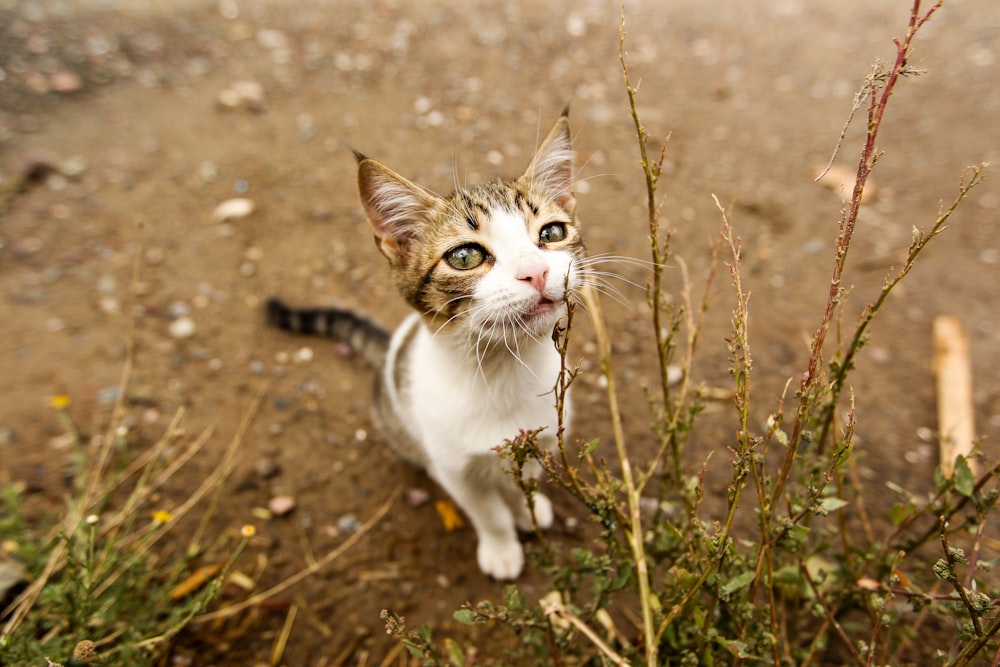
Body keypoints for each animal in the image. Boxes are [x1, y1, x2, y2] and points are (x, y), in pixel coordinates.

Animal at [266, 111, 584, 580]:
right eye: (465, 257)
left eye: (552, 232)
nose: (536, 271)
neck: (503, 369)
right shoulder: (454, 466)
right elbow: (486, 509)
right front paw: (502, 545)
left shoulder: (538, 441)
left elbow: (518, 479)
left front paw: (526, 507)